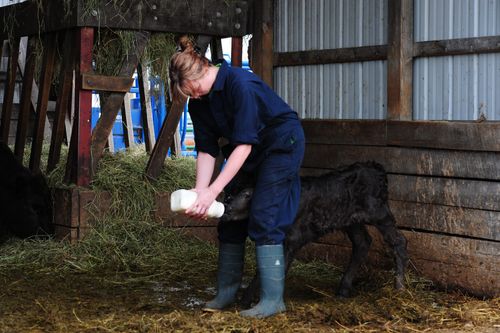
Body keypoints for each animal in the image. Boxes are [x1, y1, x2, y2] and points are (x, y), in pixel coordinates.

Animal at [221, 161, 408, 304]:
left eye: (247, 195)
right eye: (231, 193)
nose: (227, 209)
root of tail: (376, 167)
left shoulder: (292, 238)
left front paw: (249, 301)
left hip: (378, 211)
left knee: (399, 241)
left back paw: (399, 286)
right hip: (351, 219)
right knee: (362, 242)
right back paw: (343, 290)